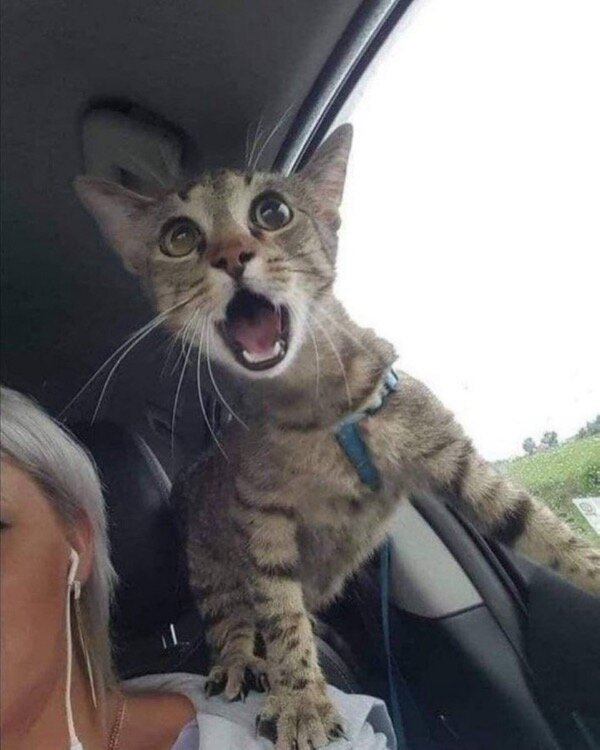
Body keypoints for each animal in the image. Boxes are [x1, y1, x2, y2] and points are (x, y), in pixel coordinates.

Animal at [76, 124, 600, 750]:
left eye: (272, 211)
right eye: (179, 238)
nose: (230, 255)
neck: (320, 407)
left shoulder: (450, 454)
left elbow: (540, 528)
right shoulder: (262, 519)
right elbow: (281, 614)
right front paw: (301, 698)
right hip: (209, 567)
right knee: (233, 621)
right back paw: (238, 660)